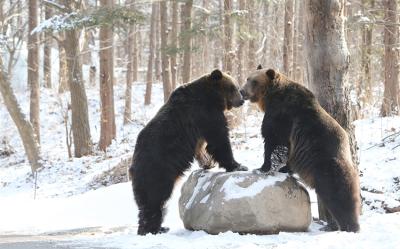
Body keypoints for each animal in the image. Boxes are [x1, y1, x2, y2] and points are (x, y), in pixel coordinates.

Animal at [129, 69, 247, 234]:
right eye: (233, 88)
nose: (241, 100)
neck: (211, 96)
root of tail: (132, 167)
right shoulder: (204, 112)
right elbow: (219, 139)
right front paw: (238, 165)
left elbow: (202, 145)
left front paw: (207, 163)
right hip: (158, 170)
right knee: (155, 198)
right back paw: (154, 229)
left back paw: (157, 227)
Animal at [241, 66, 362, 233]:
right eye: (248, 78)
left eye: (254, 81)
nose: (241, 91)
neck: (270, 97)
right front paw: (283, 169)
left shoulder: (282, 115)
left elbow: (274, 141)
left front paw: (263, 167)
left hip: (328, 167)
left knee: (340, 196)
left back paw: (350, 226)